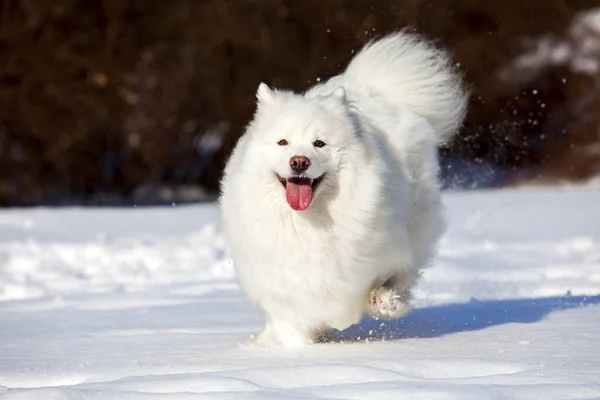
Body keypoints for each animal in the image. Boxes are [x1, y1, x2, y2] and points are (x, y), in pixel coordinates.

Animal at [218, 31, 466, 346]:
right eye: (283, 142)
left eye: (319, 143)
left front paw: (384, 301)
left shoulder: (378, 253)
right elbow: (293, 321)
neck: (309, 221)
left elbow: (391, 279)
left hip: (415, 222)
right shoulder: (282, 282)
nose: (299, 162)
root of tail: (372, 88)